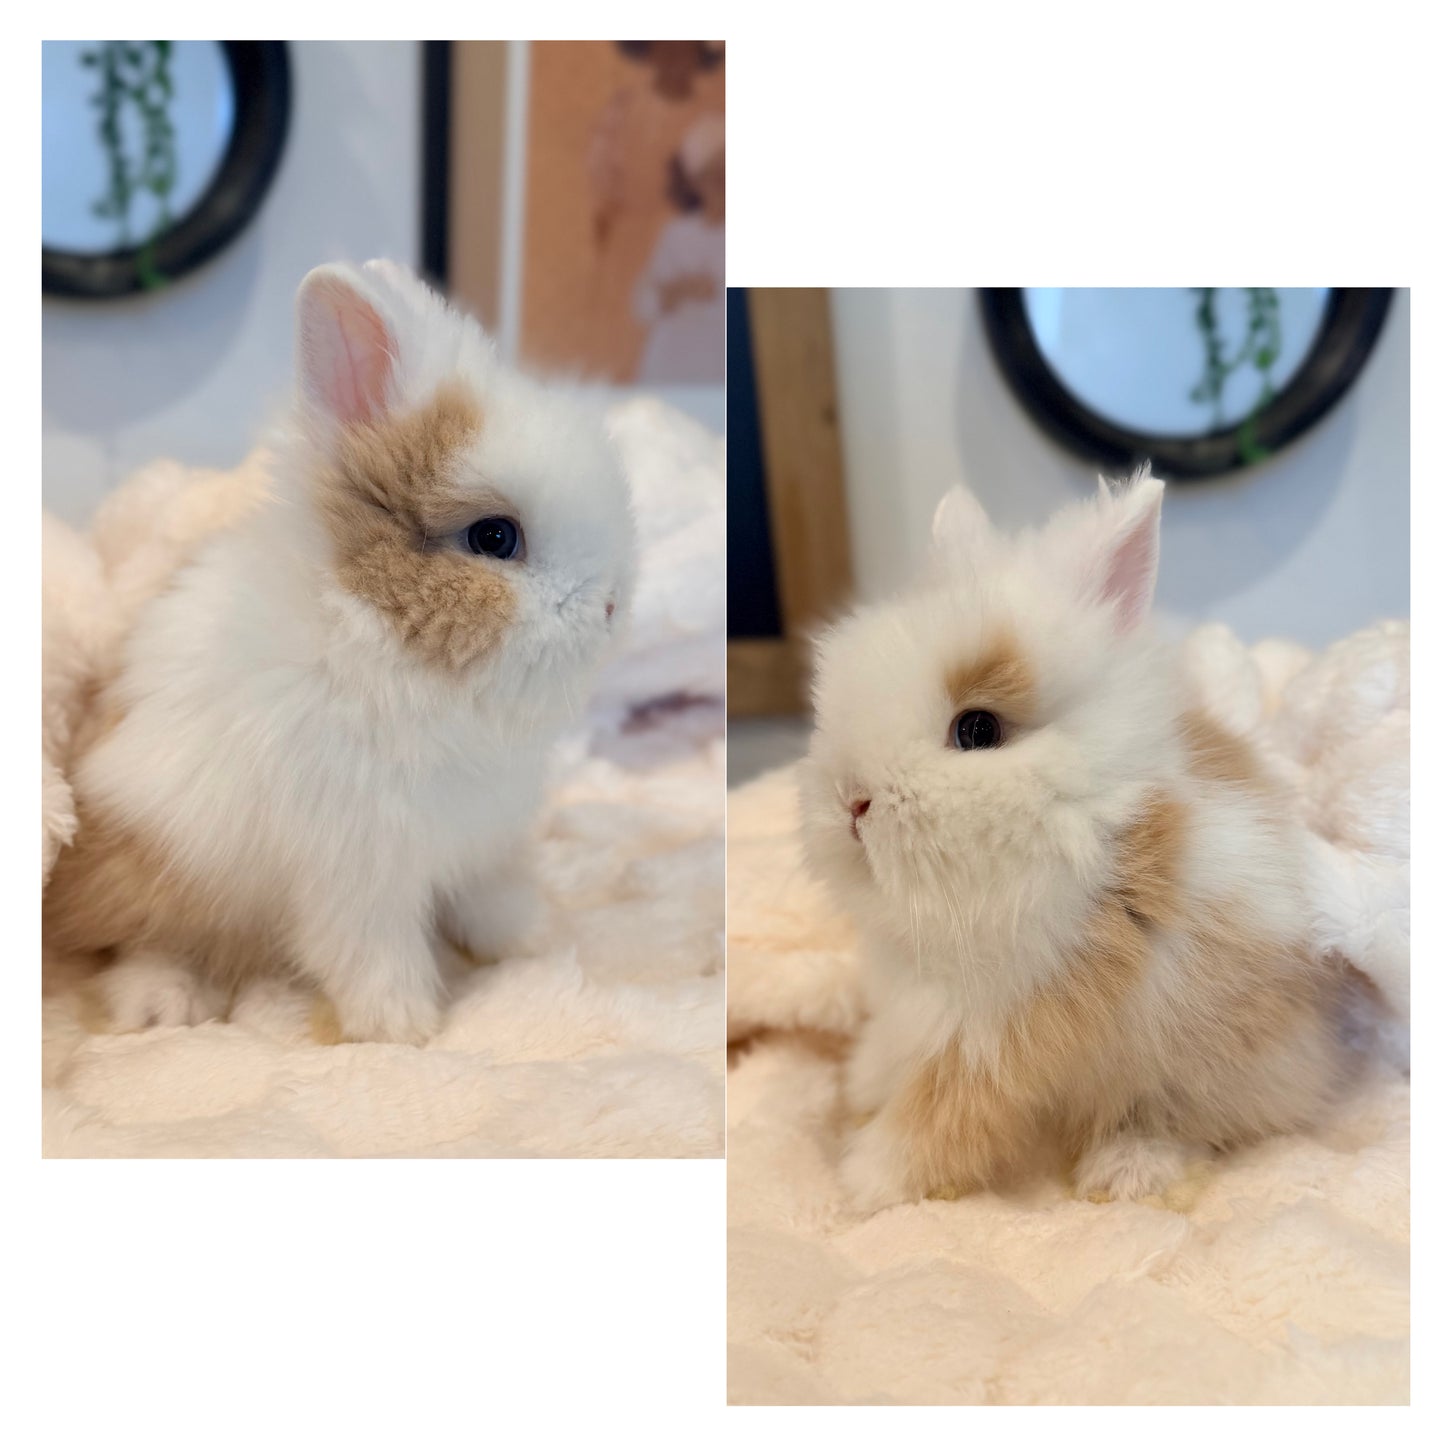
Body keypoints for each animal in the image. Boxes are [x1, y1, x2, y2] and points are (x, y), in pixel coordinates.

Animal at [43, 259, 637, 1044]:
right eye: (494, 537)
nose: (612, 606)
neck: (381, 643)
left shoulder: (484, 840)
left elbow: (493, 896)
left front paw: (532, 940)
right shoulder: (356, 873)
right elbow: (370, 952)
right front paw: (403, 1027)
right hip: (158, 866)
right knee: (136, 944)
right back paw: (164, 1005)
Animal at [798, 472, 1357, 1211]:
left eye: (977, 729)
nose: (850, 801)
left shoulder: (1010, 1021)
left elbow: (942, 1113)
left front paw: (862, 1182)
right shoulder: (917, 1002)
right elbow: (896, 1052)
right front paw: (861, 1082)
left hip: (1212, 1066)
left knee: (1184, 1123)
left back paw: (1125, 1170)